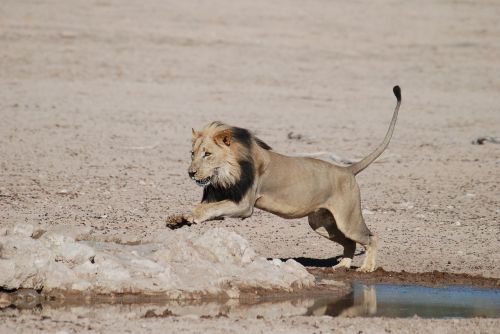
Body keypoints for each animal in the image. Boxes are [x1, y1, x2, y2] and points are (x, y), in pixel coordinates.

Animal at [178, 85, 400, 272]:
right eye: (192, 153)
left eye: (207, 154)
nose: (191, 172)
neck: (226, 172)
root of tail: (347, 170)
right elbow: (209, 207)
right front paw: (182, 218)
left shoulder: (244, 205)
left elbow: (211, 208)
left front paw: (194, 216)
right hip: (321, 224)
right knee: (350, 242)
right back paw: (343, 265)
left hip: (348, 220)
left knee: (371, 238)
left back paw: (367, 267)